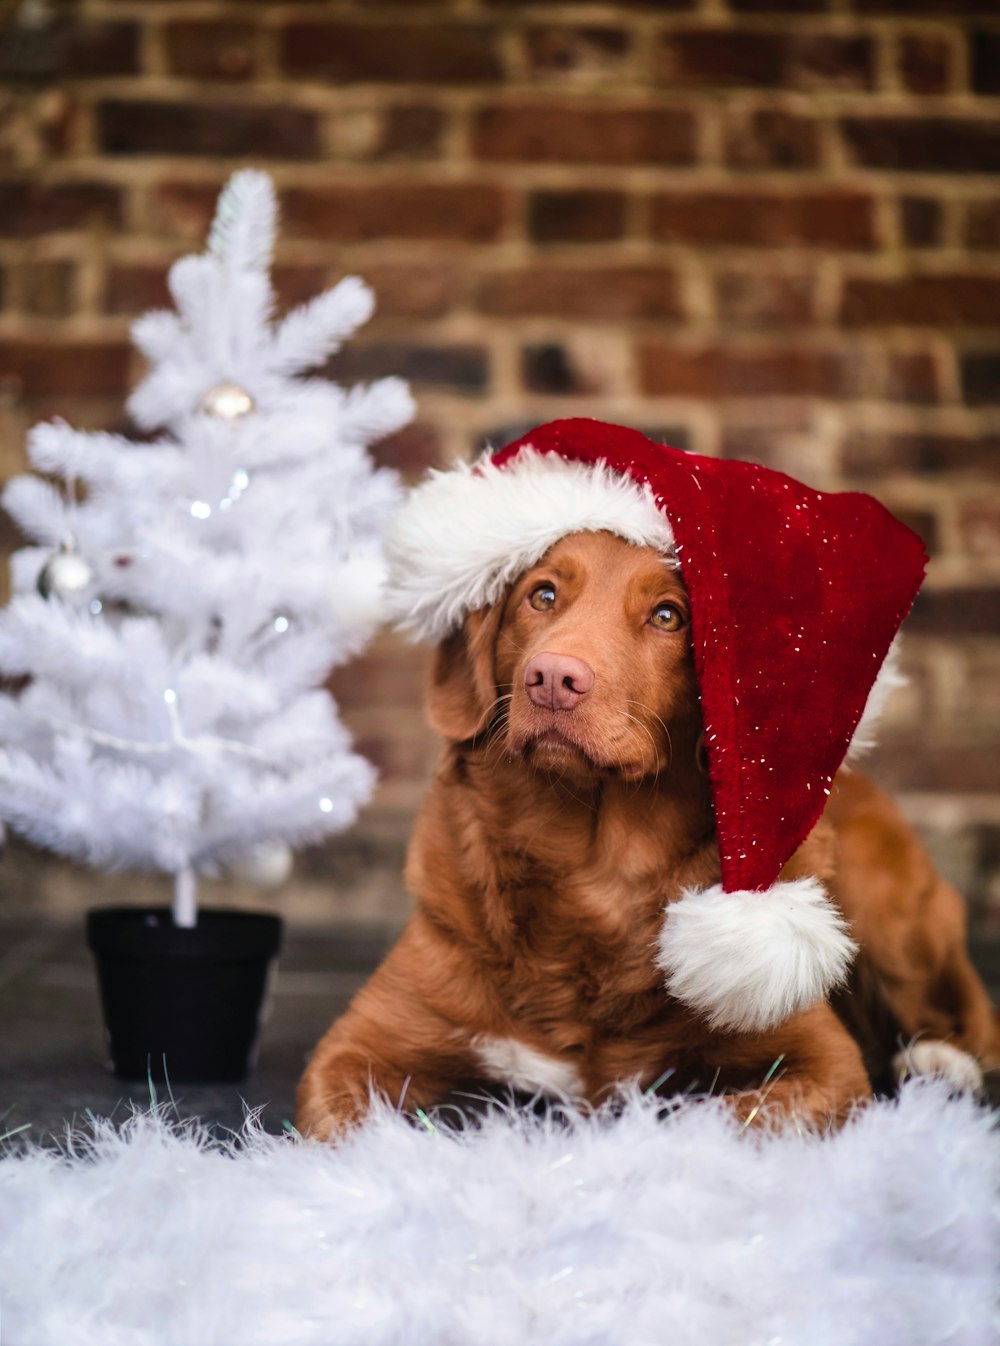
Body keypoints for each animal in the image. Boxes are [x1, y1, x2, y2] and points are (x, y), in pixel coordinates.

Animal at [297, 530, 1000, 1141]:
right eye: (542, 596)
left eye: (668, 616)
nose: (552, 679)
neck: (591, 870)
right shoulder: (356, 1046)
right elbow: (348, 1133)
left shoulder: (825, 1061)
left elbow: (721, 1121)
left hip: (889, 913)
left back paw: (939, 1064)